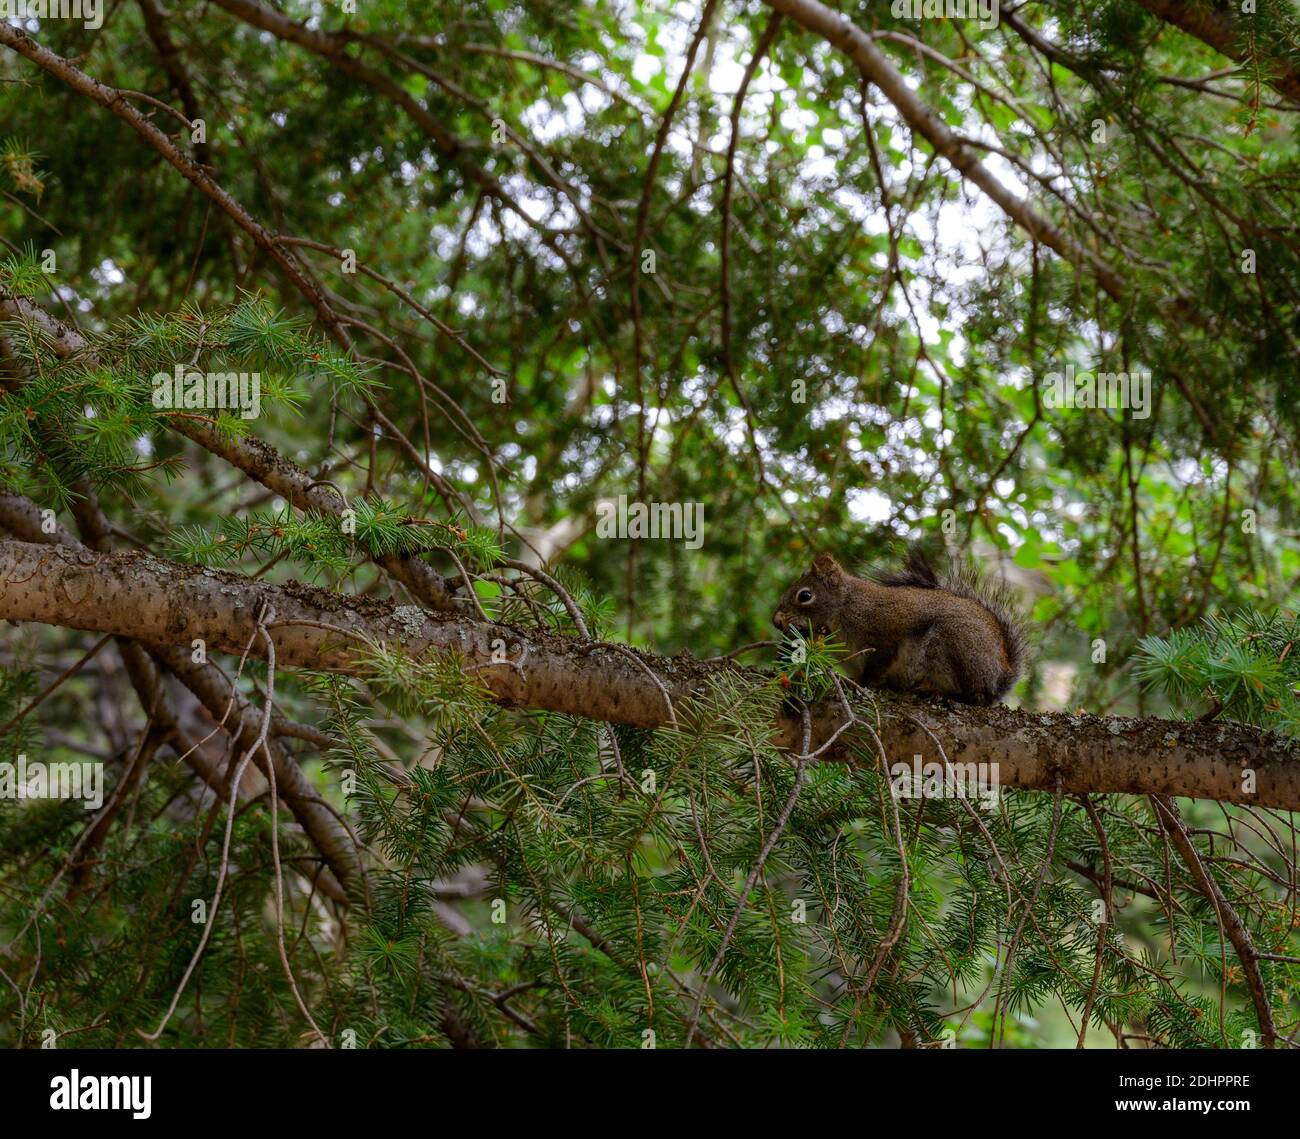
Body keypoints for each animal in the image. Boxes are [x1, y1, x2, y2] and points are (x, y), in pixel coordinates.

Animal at [772, 547, 1026, 706]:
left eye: (805, 595)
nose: (777, 621)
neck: (844, 607)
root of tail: (999, 677)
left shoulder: (884, 636)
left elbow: (876, 666)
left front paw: (862, 685)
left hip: (954, 644)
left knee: (971, 696)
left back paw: (934, 691)